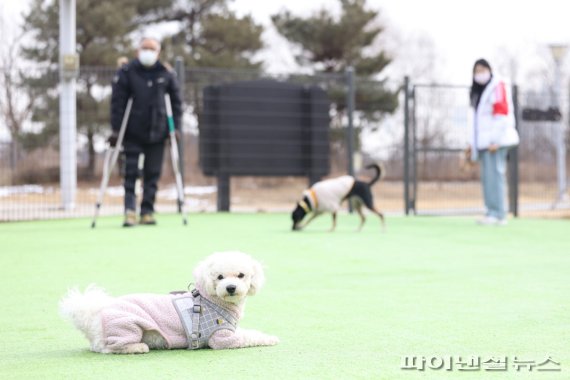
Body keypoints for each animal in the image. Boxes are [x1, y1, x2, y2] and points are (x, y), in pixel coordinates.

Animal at [59, 252, 278, 354]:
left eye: (241, 275)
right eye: (220, 277)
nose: (231, 287)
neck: (212, 299)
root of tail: (95, 312)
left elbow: (251, 332)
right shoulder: (223, 339)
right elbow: (249, 337)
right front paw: (271, 339)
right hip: (126, 325)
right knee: (110, 348)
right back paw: (138, 347)